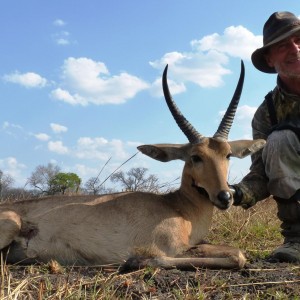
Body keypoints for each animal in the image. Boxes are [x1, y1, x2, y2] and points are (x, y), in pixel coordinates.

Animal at [0, 61, 264, 270]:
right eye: (195, 157)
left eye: (227, 154)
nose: (225, 197)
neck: (178, 207)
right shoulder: (170, 248)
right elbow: (237, 255)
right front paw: (136, 260)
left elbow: (233, 251)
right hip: (12, 223)